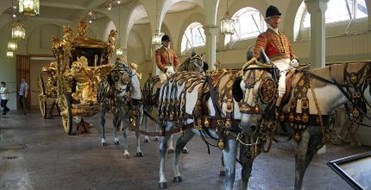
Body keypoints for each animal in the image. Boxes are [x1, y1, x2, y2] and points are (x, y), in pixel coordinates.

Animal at [238, 61, 371, 189]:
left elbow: (303, 171)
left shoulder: (315, 142)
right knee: (246, 163)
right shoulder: (301, 138)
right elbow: (299, 171)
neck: (319, 99)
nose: (246, 125)